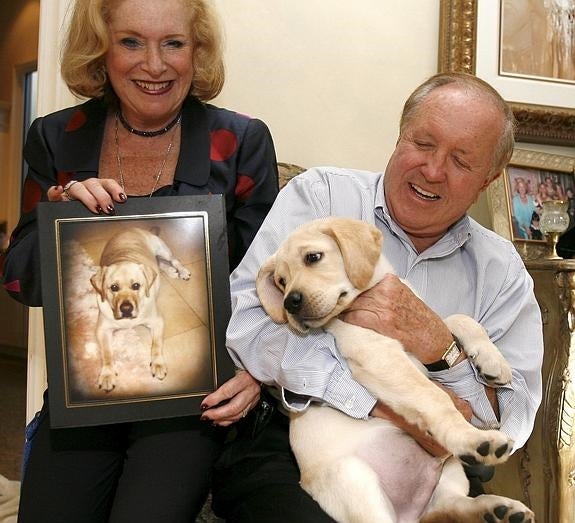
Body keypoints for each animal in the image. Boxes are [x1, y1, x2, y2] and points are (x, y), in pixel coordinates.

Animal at [89, 227, 190, 390]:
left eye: (136, 285)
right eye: (114, 287)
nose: (126, 309)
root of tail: (131, 228)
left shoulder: (157, 321)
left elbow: (156, 345)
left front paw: (158, 365)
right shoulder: (102, 329)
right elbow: (106, 353)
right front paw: (107, 374)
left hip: (162, 249)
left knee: (174, 260)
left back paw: (182, 271)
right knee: (158, 265)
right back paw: (170, 271)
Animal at [256, 218, 536, 523]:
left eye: (313, 257)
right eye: (281, 282)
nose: (289, 303)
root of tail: (409, 515)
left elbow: (460, 319)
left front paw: (494, 361)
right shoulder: (379, 355)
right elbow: (435, 397)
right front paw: (470, 437)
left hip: (450, 475)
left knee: (449, 505)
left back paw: (498, 510)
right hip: (355, 479)